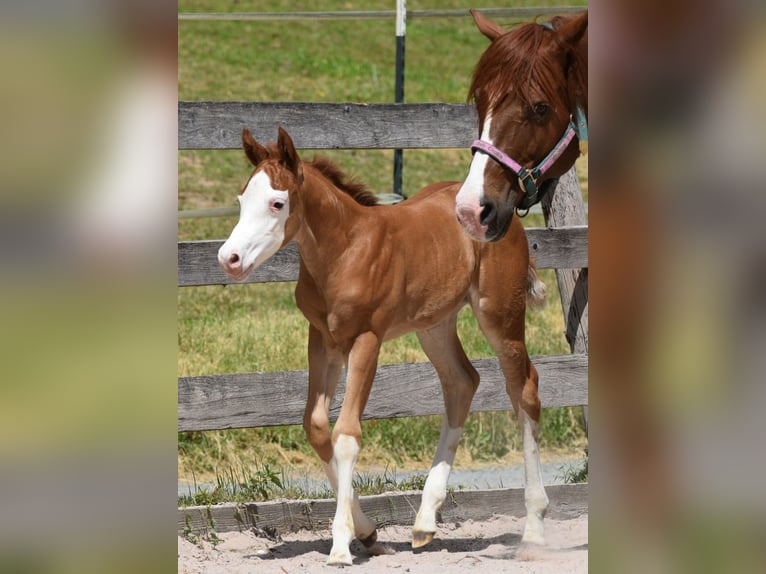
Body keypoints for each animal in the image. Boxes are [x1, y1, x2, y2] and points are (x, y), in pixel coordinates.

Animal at [218, 127, 548, 565]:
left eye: (277, 202)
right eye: (241, 200)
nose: (230, 258)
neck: (343, 252)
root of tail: (500, 210)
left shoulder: (366, 339)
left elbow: (346, 435)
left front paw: (341, 546)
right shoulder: (322, 339)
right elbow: (316, 426)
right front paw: (369, 532)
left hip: (499, 314)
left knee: (523, 386)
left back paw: (534, 527)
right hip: (434, 323)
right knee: (462, 382)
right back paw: (424, 522)